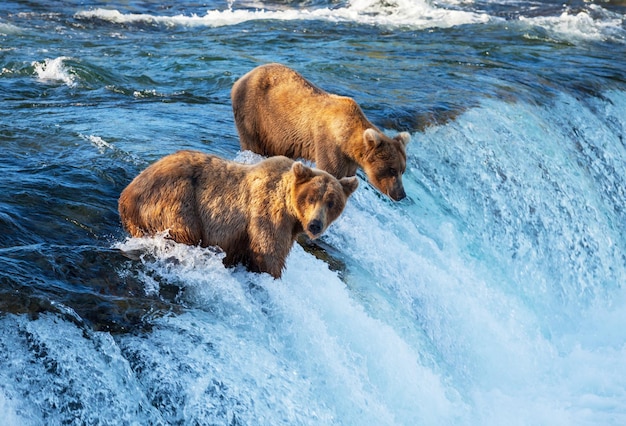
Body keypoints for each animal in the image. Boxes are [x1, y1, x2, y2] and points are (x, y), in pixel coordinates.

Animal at [118, 151, 356, 280]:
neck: (292, 213)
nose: (315, 224)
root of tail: (126, 195)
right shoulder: (267, 214)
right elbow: (268, 254)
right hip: (176, 200)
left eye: (332, 203)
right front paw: (272, 274)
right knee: (184, 231)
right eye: (311, 197)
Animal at [229, 63, 410, 201]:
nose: (401, 194)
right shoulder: (329, 145)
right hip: (255, 115)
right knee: (253, 143)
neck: (346, 139)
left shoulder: (350, 160)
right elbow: (331, 172)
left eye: (402, 170)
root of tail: (242, 78)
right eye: (392, 169)